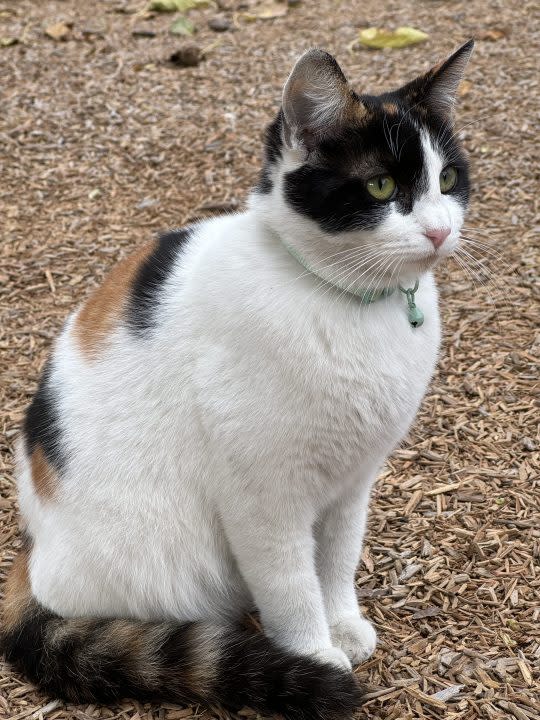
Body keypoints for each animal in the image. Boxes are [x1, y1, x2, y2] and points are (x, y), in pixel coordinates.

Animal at [0, 40, 472, 720]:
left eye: (449, 180)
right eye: (381, 186)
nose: (439, 231)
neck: (348, 302)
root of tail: (32, 550)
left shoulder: (352, 482)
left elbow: (336, 561)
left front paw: (342, 623)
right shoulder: (263, 499)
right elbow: (291, 585)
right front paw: (314, 653)